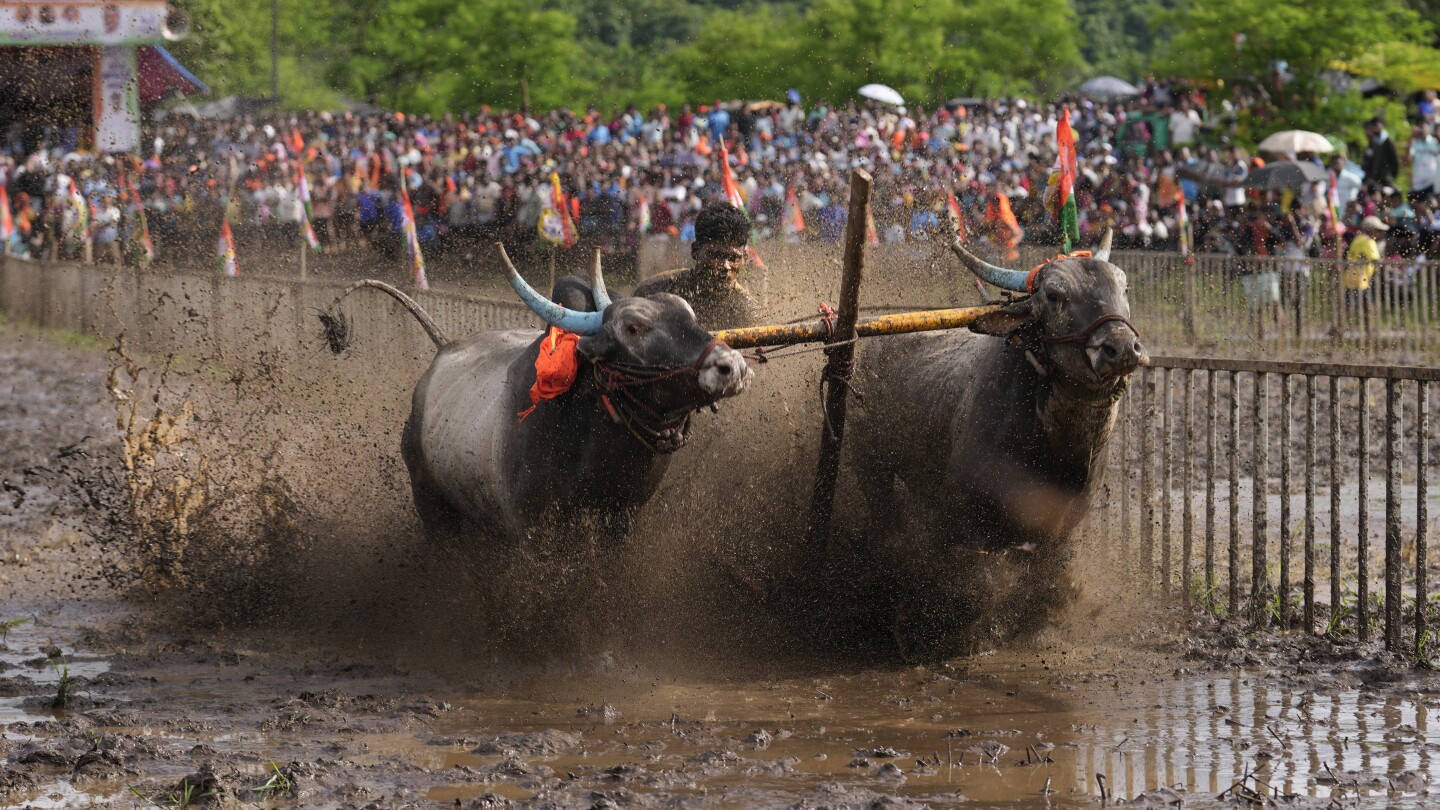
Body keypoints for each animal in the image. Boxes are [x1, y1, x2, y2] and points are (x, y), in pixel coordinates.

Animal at [325, 246, 754, 547]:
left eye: (690, 313)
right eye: (633, 328)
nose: (730, 365)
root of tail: (444, 349)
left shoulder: (621, 518)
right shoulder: (533, 532)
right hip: (431, 504)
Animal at [846, 230, 1140, 660]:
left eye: (1123, 286)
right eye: (1055, 295)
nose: (1120, 348)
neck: (1053, 448)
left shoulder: (1060, 531)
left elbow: (1047, 585)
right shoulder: (961, 520)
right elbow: (976, 587)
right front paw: (923, 633)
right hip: (871, 466)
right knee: (889, 528)